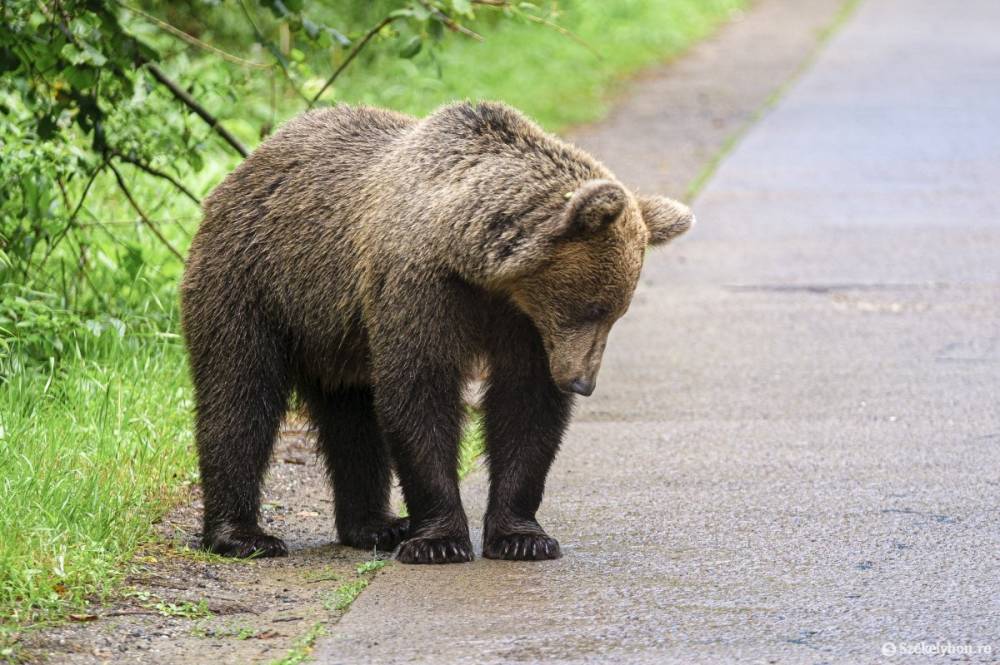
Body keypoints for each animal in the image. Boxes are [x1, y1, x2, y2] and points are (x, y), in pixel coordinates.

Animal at [180, 101, 692, 564]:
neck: (474, 263)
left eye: (616, 313)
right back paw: (244, 536)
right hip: (255, 283)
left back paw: (376, 525)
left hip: (338, 336)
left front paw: (523, 537)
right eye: (594, 308)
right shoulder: (420, 288)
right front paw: (439, 541)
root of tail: (243, 168)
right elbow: (419, 391)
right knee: (239, 395)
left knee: (351, 417)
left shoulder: (522, 323)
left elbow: (525, 404)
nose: (581, 382)